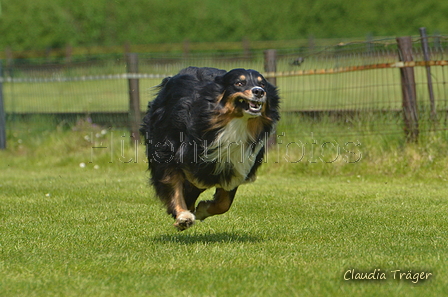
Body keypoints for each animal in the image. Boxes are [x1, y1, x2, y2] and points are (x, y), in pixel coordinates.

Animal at [141, 66, 280, 229]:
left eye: (262, 84)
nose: (259, 91)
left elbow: (224, 203)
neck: (236, 123)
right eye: (239, 83)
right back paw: (184, 215)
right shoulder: (181, 154)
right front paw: (183, 214)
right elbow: (182, 182)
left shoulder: (238, 165)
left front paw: (202, 210)